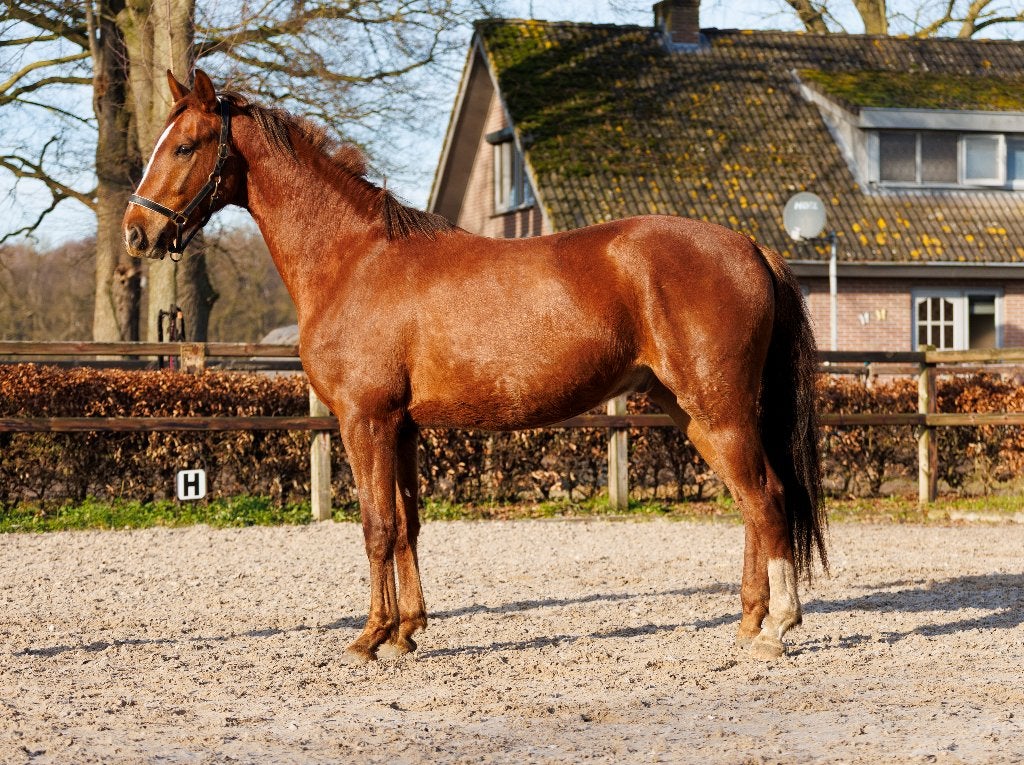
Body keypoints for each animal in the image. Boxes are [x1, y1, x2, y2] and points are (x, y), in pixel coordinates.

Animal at [123, 69, 827, 663]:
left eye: (185, 146)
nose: (135, 232)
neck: (354, 259)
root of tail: (750, 246)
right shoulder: (402, 427)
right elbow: (408, 523)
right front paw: (406, 632)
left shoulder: (365, 420)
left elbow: (376, 525)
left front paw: (369, 638)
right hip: (693, 413)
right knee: (750, 503)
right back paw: (748, 623)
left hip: (720, 410)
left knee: (767, 499)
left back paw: (777, 629)